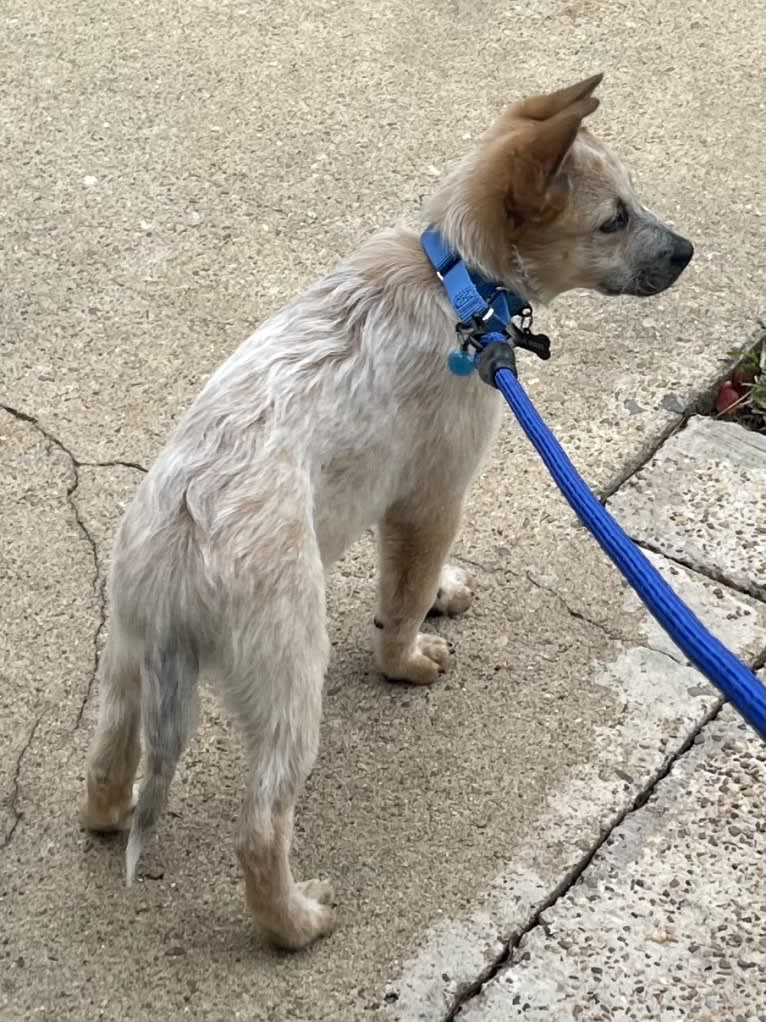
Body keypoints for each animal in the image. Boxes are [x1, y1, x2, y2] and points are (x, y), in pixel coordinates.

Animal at [79, 74, 694, 948]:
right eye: (614, 220)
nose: (686, 252)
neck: (457, 279)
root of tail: (180, 546)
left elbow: (416, 582)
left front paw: (444, 592)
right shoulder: (431, 497)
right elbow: (402, 597)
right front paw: (408, 659)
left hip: (127, 655)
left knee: (106, 766)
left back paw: (114, 809)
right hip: (288, 675)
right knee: (260, 828)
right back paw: (295, 923)